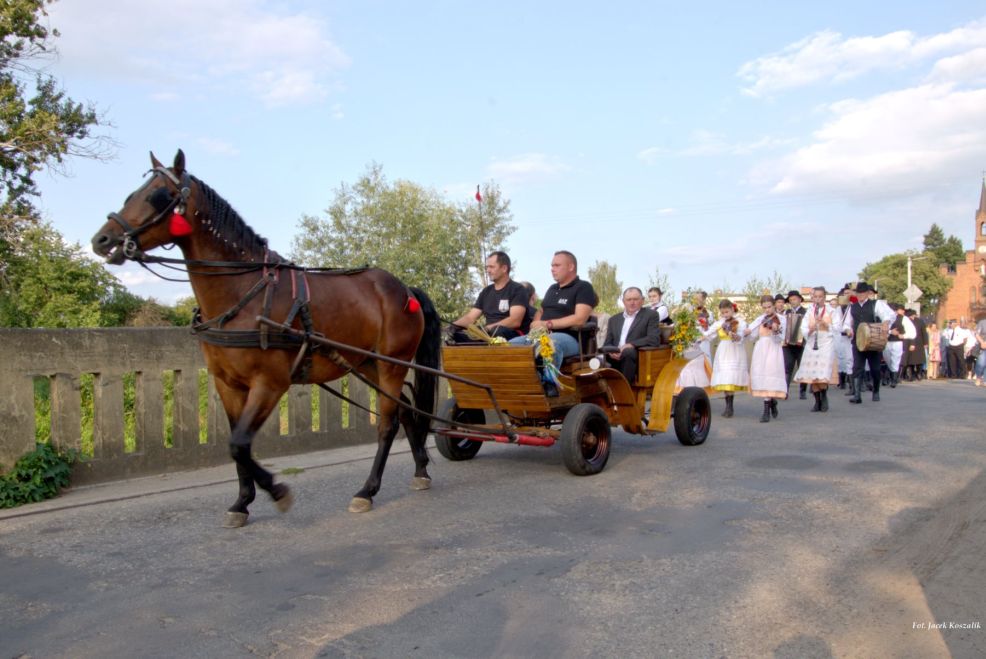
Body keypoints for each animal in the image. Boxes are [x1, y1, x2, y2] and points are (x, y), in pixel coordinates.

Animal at [91, 150, 438, 524]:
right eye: (132, 193)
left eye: (158, 195)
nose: (102, 240)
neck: (244, 293)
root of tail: (404, 288)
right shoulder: (228, 384)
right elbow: (236, 443)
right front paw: (242, 501)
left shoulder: (270, 382)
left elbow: (239, 444)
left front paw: (277, 491)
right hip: (368, 363)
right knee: (405, 410)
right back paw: (421, 469)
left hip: (391, 364)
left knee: (387, 424)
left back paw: (367, 490)